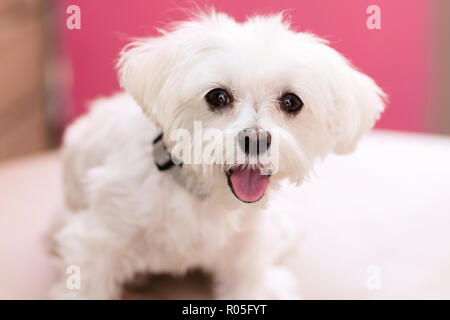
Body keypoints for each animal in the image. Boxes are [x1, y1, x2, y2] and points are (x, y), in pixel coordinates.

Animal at [51, 10, 384, 300]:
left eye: (291, 101)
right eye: (218, 96)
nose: (256, 140)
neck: (204, 198)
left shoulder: (246, 254)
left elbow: (249, 284)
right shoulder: (95, 244)